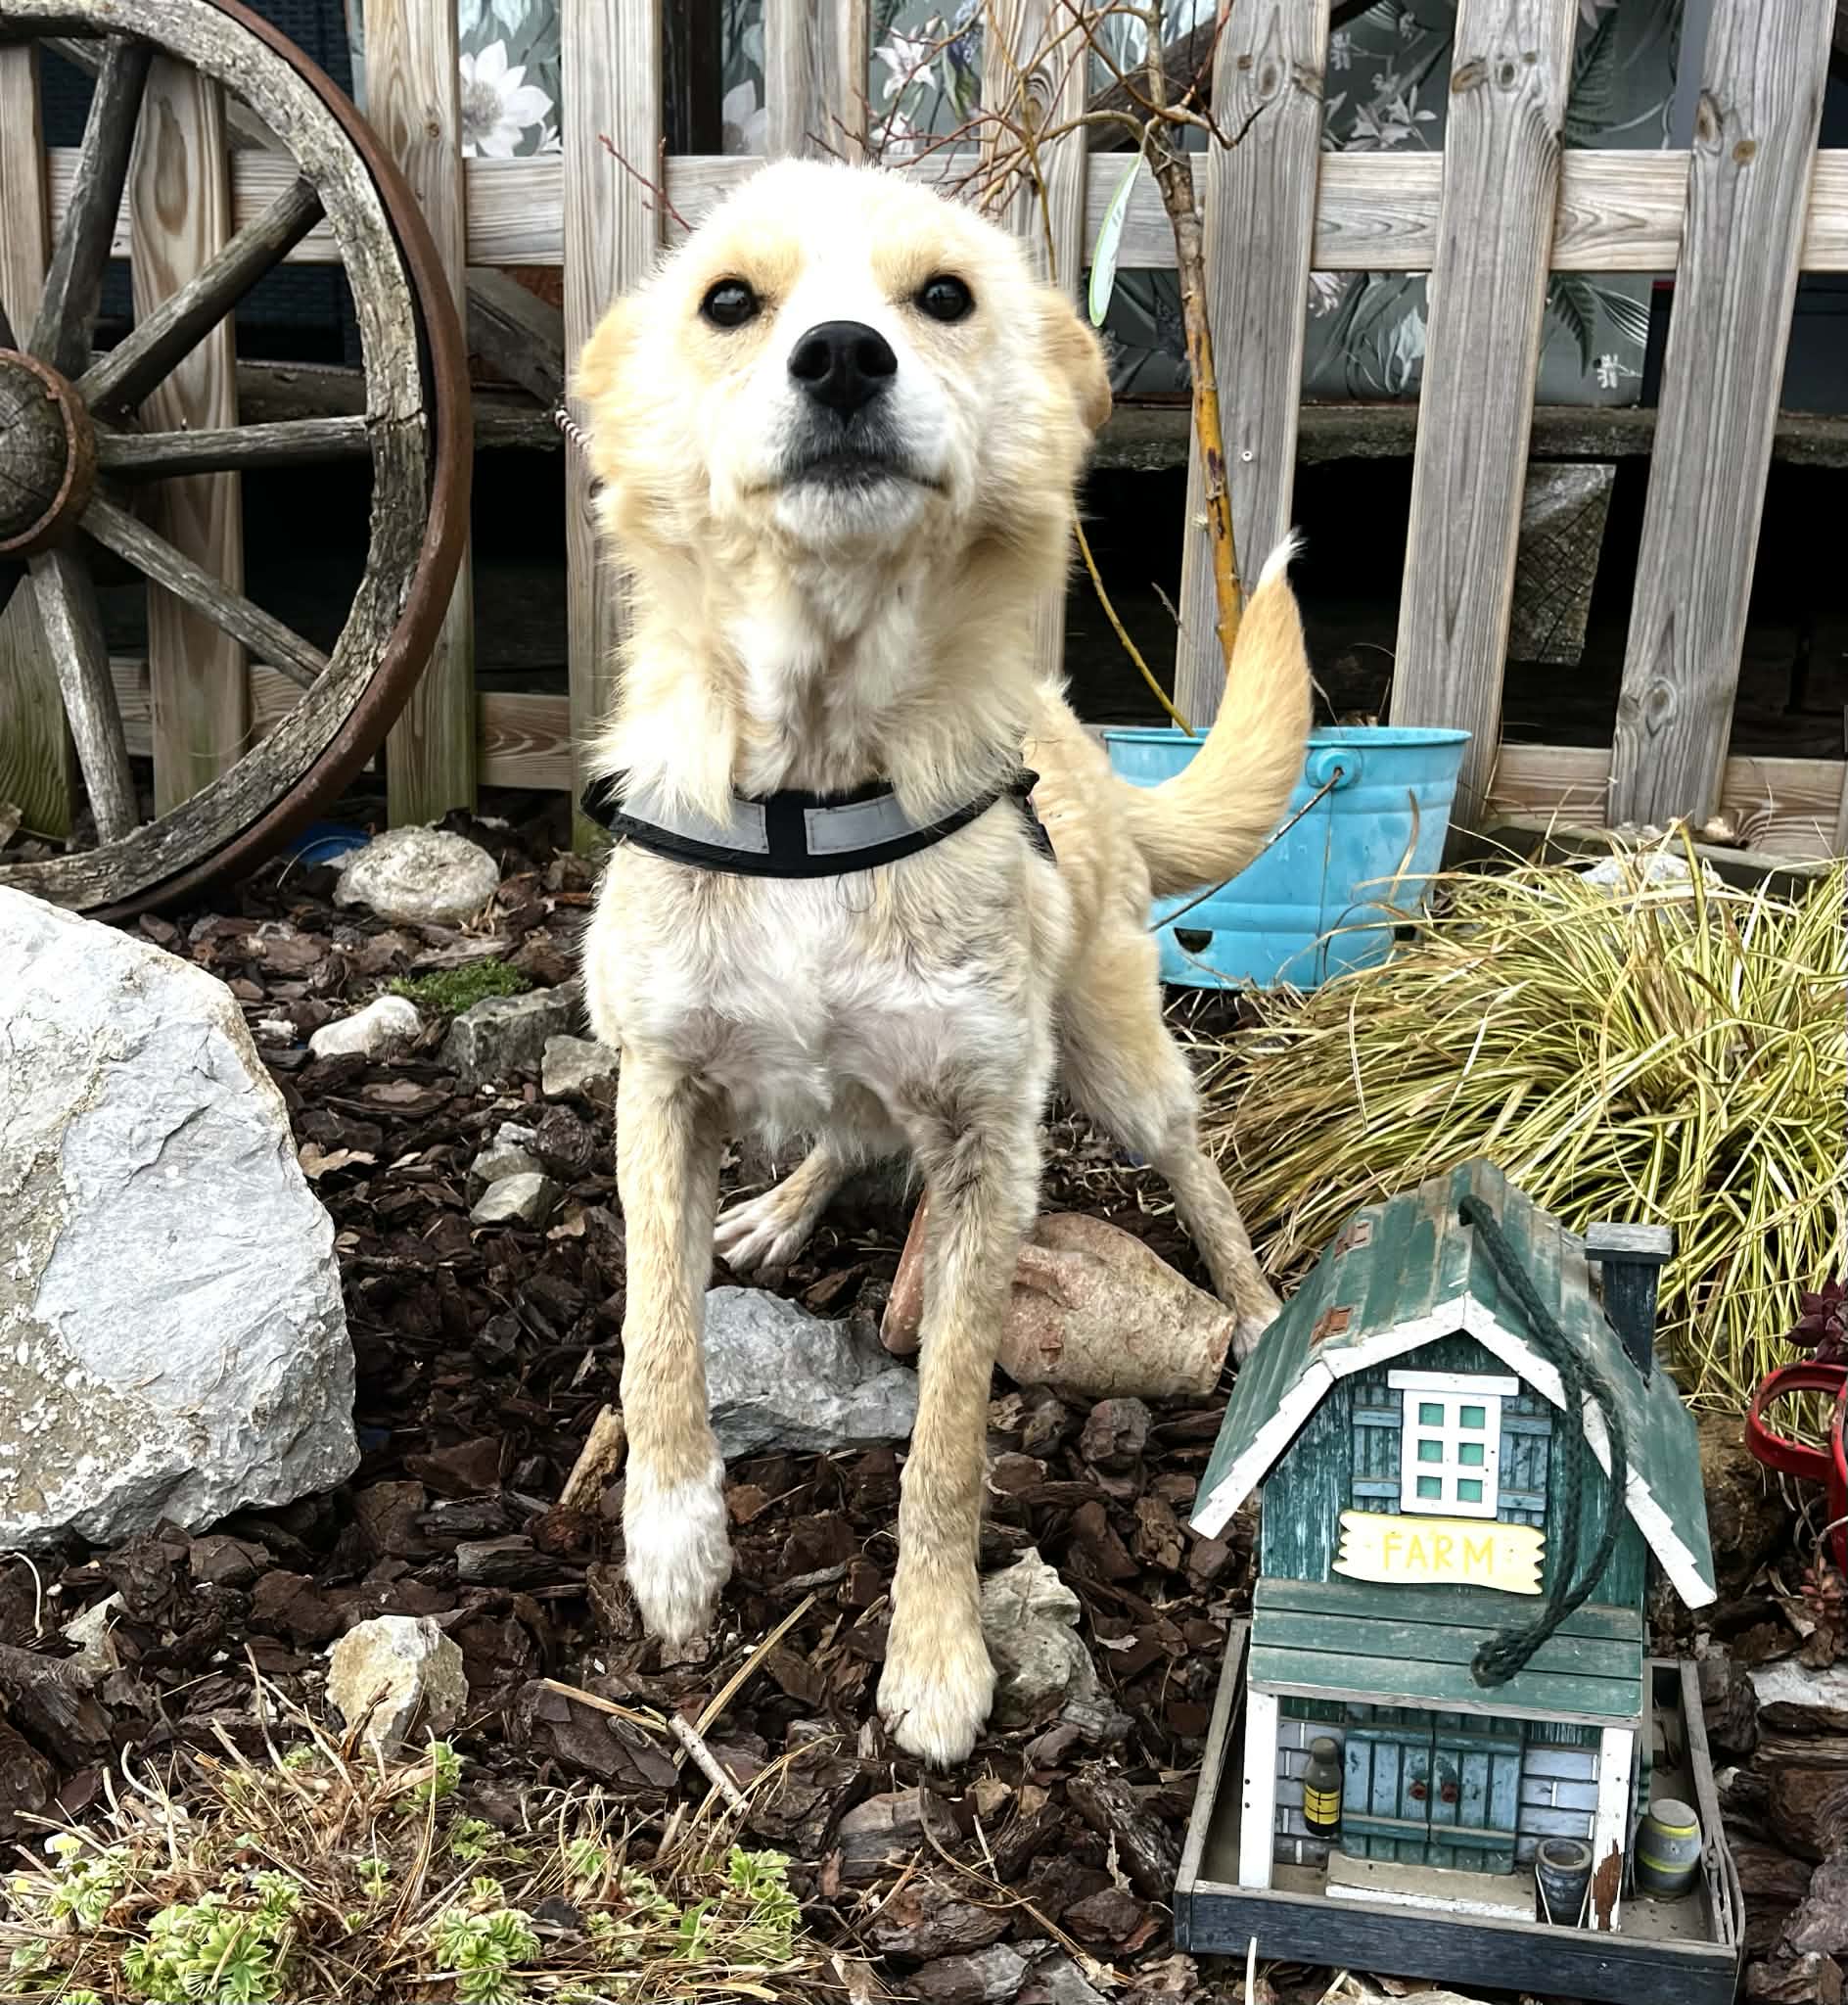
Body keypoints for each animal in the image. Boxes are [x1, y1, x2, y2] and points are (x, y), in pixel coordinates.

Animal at [573, 159, 1311, 1765]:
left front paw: (935, 1653)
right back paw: (783, 1207)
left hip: (1116, 1060)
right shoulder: (658, 1085)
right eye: (730, 299)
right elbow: (656, 1335)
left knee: (1194, 1169)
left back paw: (1259, 1310)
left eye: (946, 298)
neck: (817, 795)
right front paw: (673, 1550)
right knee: (845, 1133)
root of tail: (1075, 735)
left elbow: (950, 1441)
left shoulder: (988, 1143)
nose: (845, 356)